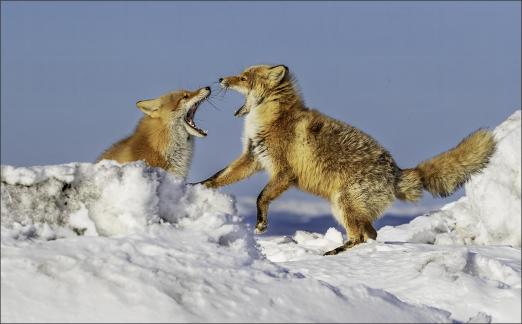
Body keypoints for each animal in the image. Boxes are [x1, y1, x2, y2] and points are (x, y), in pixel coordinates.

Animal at [194, 64, 492, 256]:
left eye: (243, 78)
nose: (220, 78)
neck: (273, 118)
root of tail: (395, 170)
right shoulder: (252, 158)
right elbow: (216, 178)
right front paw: (195, 189)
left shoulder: (283, 173)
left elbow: (260, 198)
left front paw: (261, 225)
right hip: (347, 208)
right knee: (372, 234)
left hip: (343, 204)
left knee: (360, 236)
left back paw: (335, 252)